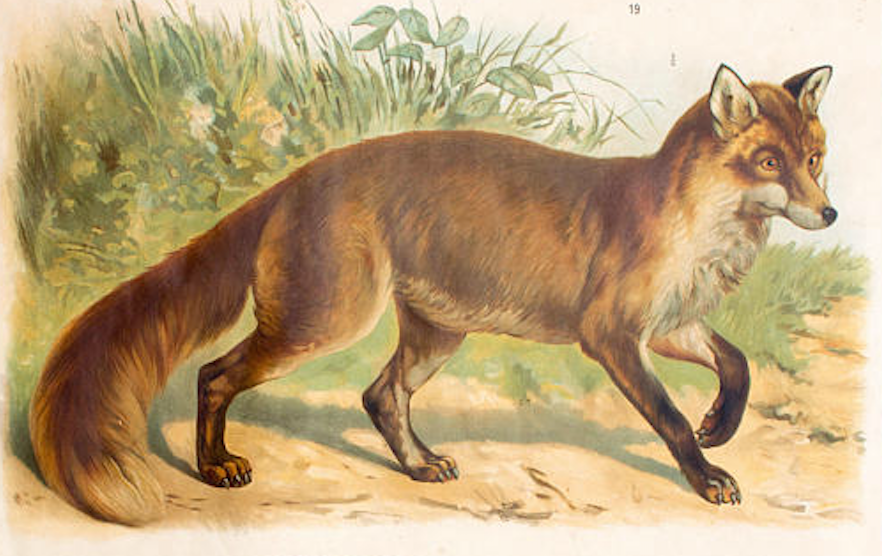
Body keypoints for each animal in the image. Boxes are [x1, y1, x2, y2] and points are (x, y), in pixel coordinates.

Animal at [28, 64, 836, 525]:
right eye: (769, 162)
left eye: (816, 159)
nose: (828, 213)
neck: (700, 234)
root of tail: (297, 178)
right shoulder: (610, 334)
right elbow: (667, 418)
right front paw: (707, 473)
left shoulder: (669, 324)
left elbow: (737, 365)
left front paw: (721, 425)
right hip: (325, 324)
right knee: (213, 374)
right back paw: (213, 467)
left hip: (435, 335)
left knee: (378, 395)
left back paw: (417, 466)